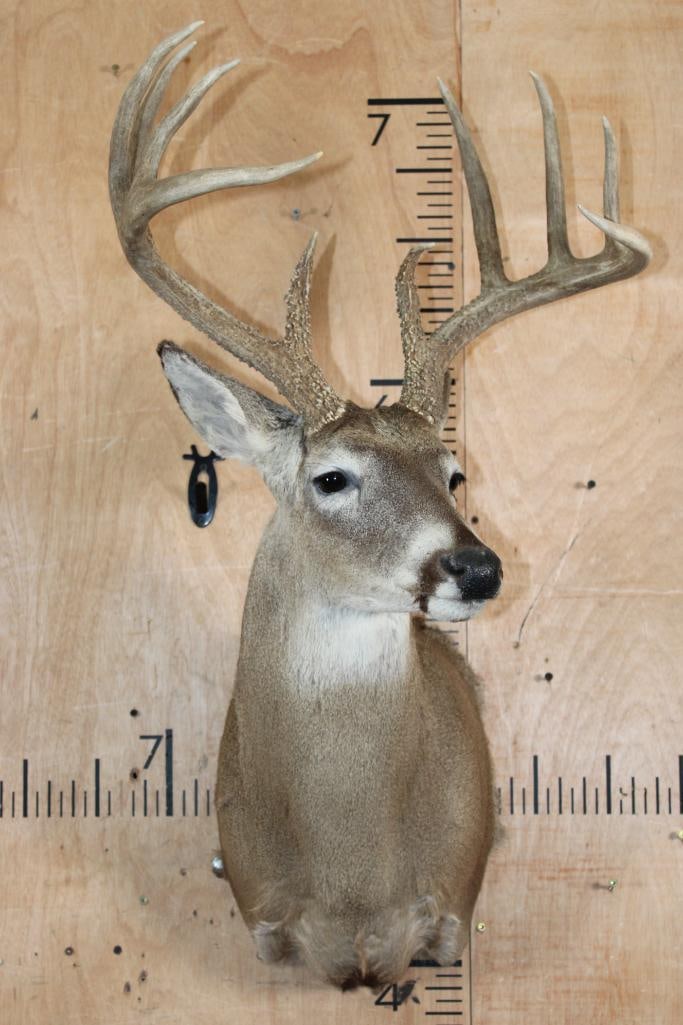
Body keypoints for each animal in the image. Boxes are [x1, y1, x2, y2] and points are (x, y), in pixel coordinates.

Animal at [109, 21, 650, 990]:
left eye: (453, 471)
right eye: (331, 477)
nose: (477, 565)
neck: (351, 870)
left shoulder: (450, 910)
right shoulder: (265, 921)